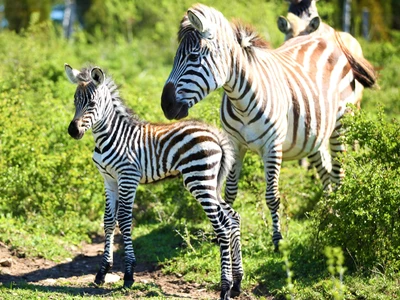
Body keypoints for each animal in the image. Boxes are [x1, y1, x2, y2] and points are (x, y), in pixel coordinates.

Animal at [65, 63, 244, 300]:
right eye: (75, 101)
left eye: (92, 104)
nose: (73, 131)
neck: (110, 137)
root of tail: (216, 135)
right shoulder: (109, 180)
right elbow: (108, 221)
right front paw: (102, 272)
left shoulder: (128, 178)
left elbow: (124, 220)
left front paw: (128, 274)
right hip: (210, 183)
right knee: (233, 218)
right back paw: (237, 282)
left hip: (198, 180)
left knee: (222, 227)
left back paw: (225, 287)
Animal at [160, 4, 376, 251]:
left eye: (194, 57)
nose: (165, 105)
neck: (240, 100)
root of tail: (325, 38)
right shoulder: (234, 144)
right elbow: (229, 191)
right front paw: (221, 236)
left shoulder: (272, 146)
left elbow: (272, 196)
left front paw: (277, 239)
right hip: (314, 134)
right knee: (326, 174)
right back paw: (330, 216)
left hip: (342, 124)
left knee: (339, 174)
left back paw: (339, 219)